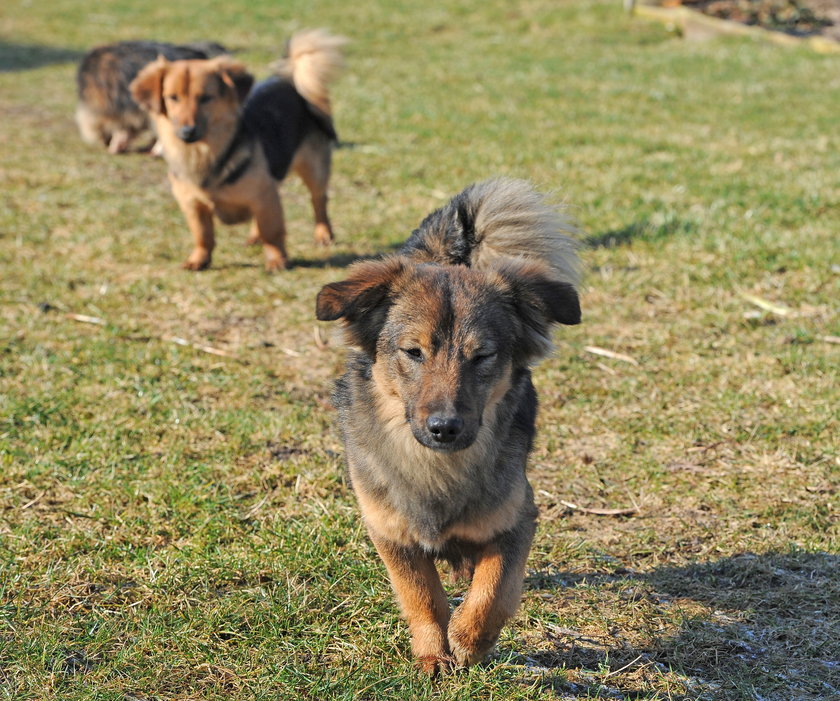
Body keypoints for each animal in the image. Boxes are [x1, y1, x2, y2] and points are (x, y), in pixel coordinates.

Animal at [129, 30, 344, 270]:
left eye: (206, 98)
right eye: (172, 98)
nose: (187, 132)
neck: (203, 154)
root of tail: (288, 80)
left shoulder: (263, 195)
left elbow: (272, 230)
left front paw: (277, 259)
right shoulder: (192, 204)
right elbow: (202, 234)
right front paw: (199, 259)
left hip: (312, 169)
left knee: (318, 201)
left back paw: (323, 234)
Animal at [316, 179, 584, 672]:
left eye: (482, 356)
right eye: (413, 352)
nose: (445, 427)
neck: (437, 469)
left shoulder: (517, 517)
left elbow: (495, 588)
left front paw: (469, 640)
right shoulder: (388, 529)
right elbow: (420, 592)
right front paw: (432, 652)